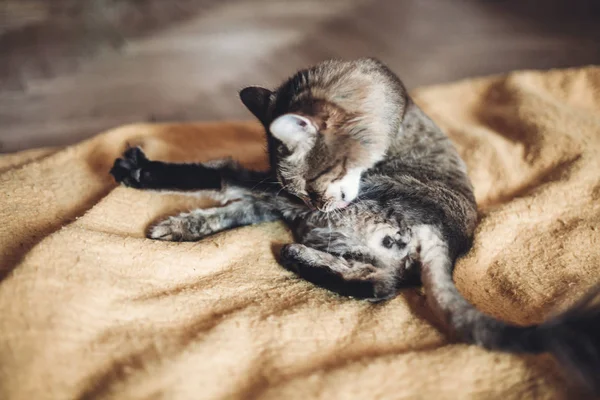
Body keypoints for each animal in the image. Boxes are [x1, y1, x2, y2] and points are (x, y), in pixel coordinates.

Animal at [111, 57, 600, 392]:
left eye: (312, 183)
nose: (309, 199)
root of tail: (445, 234)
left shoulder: (281, 196)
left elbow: (224, 175)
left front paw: (143, 176)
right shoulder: (280, 197)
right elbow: (233, 192)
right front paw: (174, 217)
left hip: (339, 216)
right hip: (349, 239)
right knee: (380, 283)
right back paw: (298, 255)